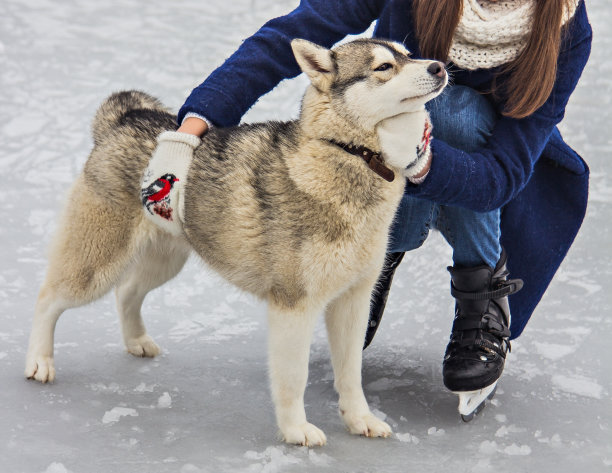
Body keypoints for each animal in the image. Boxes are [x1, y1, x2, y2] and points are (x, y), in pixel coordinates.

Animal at [25, 37, 444, 446]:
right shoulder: (294, 305)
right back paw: (39, 361)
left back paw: (137, 341)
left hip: (166, 259)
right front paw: (296, 431)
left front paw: (360, 420)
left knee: (126, 292)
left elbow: (351, 374)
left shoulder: (353, 300)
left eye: (407, 54)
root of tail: (125, 120)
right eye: (383, 67)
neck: (346, 153)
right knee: (48, 299)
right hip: (95, 264)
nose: (439, 67)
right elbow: (294, 378)